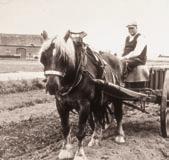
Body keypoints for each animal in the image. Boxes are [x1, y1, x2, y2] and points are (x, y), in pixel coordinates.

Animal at [39, 31, 125, 160]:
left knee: (118, 115)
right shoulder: (60, 104)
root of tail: (117, 59)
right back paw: (95, 139)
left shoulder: (84, 105)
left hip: (117, 96)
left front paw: (79, 154)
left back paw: (119, 136)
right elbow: (65, 128)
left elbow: (80, 132)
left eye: (63, 58)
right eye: (43, 57)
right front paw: (65, 151)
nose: (51, 86)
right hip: (97, 102)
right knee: (98, 119)